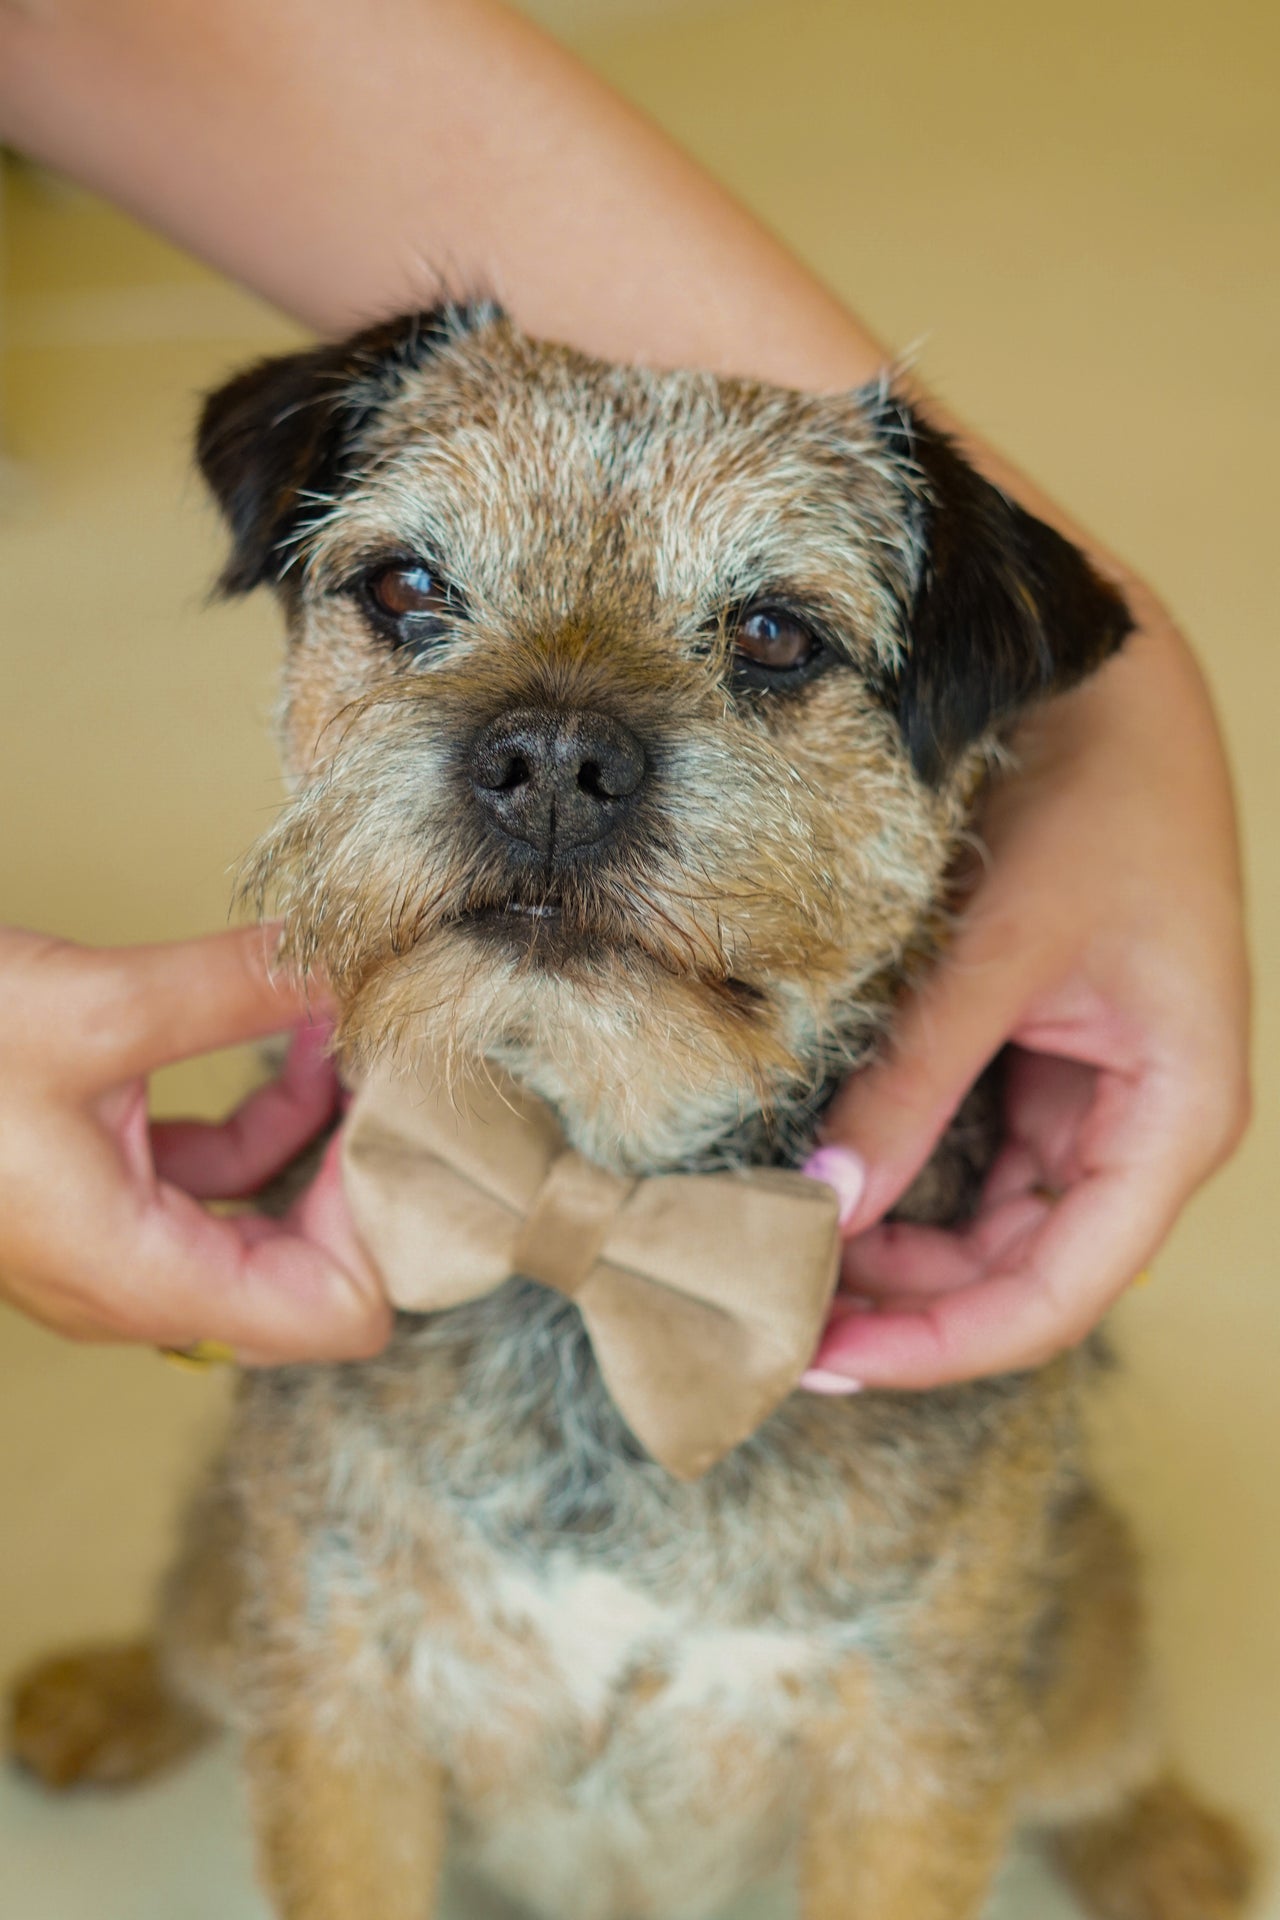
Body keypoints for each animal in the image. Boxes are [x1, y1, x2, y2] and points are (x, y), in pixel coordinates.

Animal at [7, 307, 1251, 1912]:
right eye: (406, 586)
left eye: (774, 635)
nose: (549, 757)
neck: (601, 1210)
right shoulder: (342, 1702)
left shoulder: (907, 1762)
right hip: (248, 1587)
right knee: (197, 1622)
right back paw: (107, 1689)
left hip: (1074, 1642)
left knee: (1106, 1731)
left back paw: (1164, 1838)